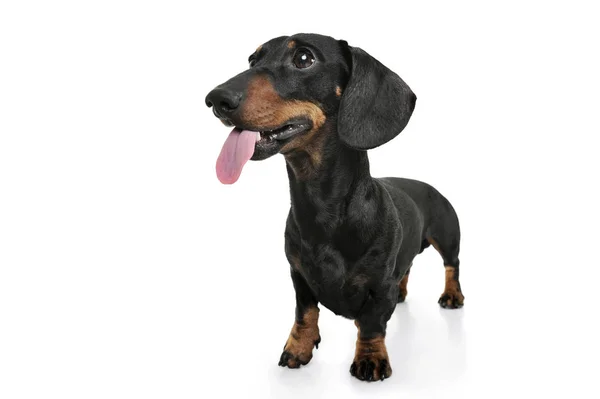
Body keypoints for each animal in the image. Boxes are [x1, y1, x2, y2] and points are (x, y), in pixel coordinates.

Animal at [206, 32, 464, 382]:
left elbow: (371, 325)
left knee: (452, 265)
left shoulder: (379, 285)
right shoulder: (298, 274)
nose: (215, 99)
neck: (321, 209)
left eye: (304, 58)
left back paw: (452, 295)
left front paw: (370, 358)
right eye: (252, 60)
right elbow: (305, 313)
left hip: (448, 235)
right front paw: (298, 348)